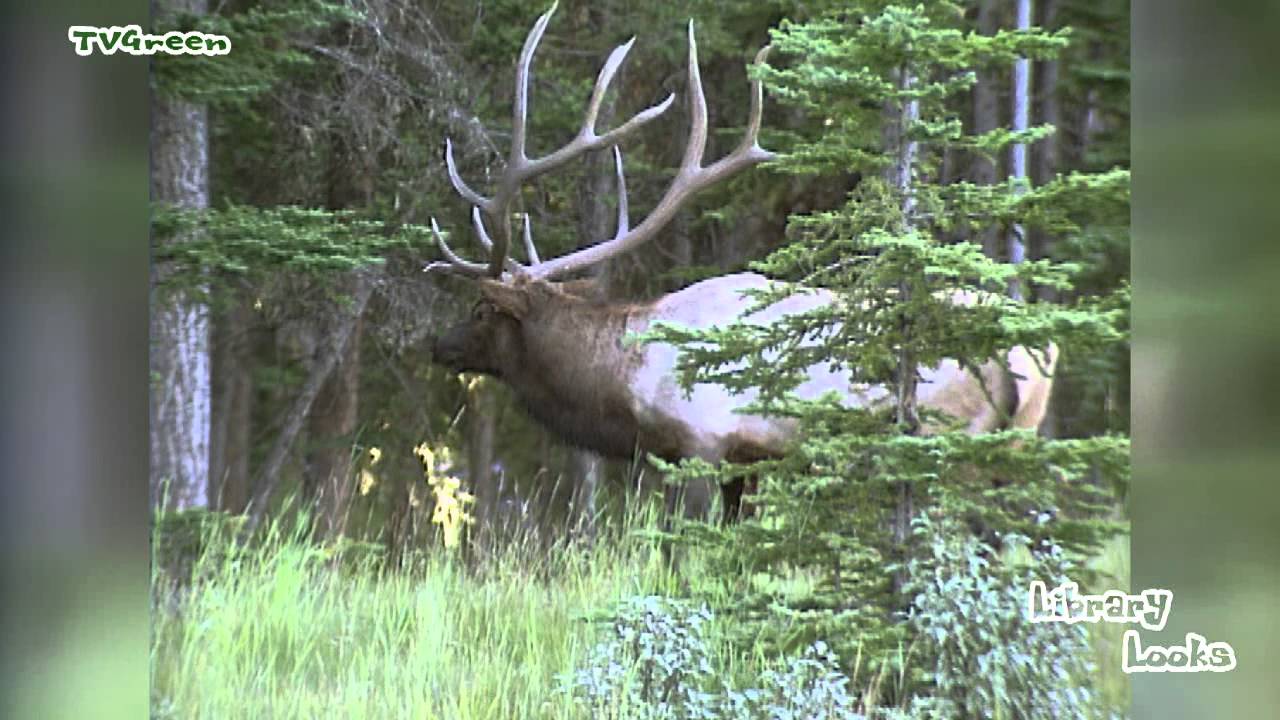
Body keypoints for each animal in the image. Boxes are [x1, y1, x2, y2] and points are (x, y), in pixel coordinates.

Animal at [425, 5, 1059, 524]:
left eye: (481, 310)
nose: (435, 342)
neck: (628, 380)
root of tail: (1026, 353)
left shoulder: (703, 445)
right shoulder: (748, 463)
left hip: (946, 436)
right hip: (1018, 443)